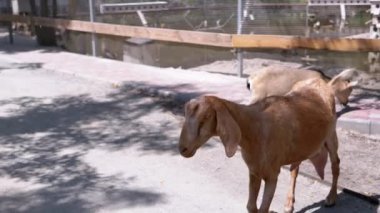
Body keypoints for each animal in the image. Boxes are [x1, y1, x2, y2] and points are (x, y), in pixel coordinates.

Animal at [180, 78, 340, 213]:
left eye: (206, 117)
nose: (183, 149)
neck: (255, 129)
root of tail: (319, 80)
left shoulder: (272, 173)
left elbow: (262, 208)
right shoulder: (254, 170)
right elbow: (251, 206)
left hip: (331, 135)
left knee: (335, 164)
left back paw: (331, 198)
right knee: (294, 169)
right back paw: (289, 204)